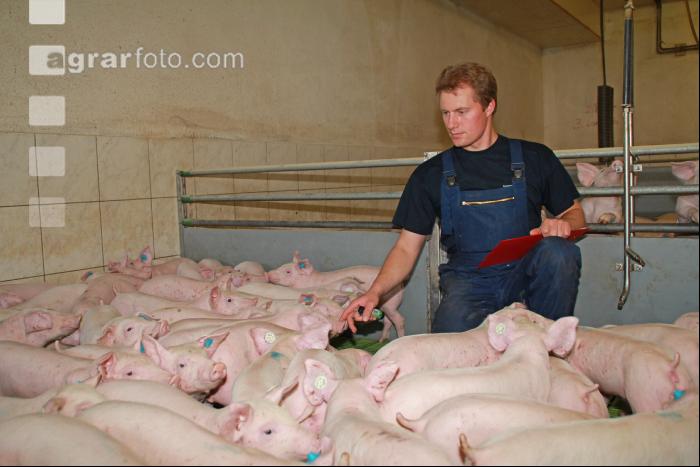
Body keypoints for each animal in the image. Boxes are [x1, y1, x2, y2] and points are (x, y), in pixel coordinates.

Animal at [267, 252, 405, 341]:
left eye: (288, 271)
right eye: (282, 266)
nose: (267, 273)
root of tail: (402, 284)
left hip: (391, 303)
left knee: (399, 320)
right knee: (388, 321)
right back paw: (382, 340)